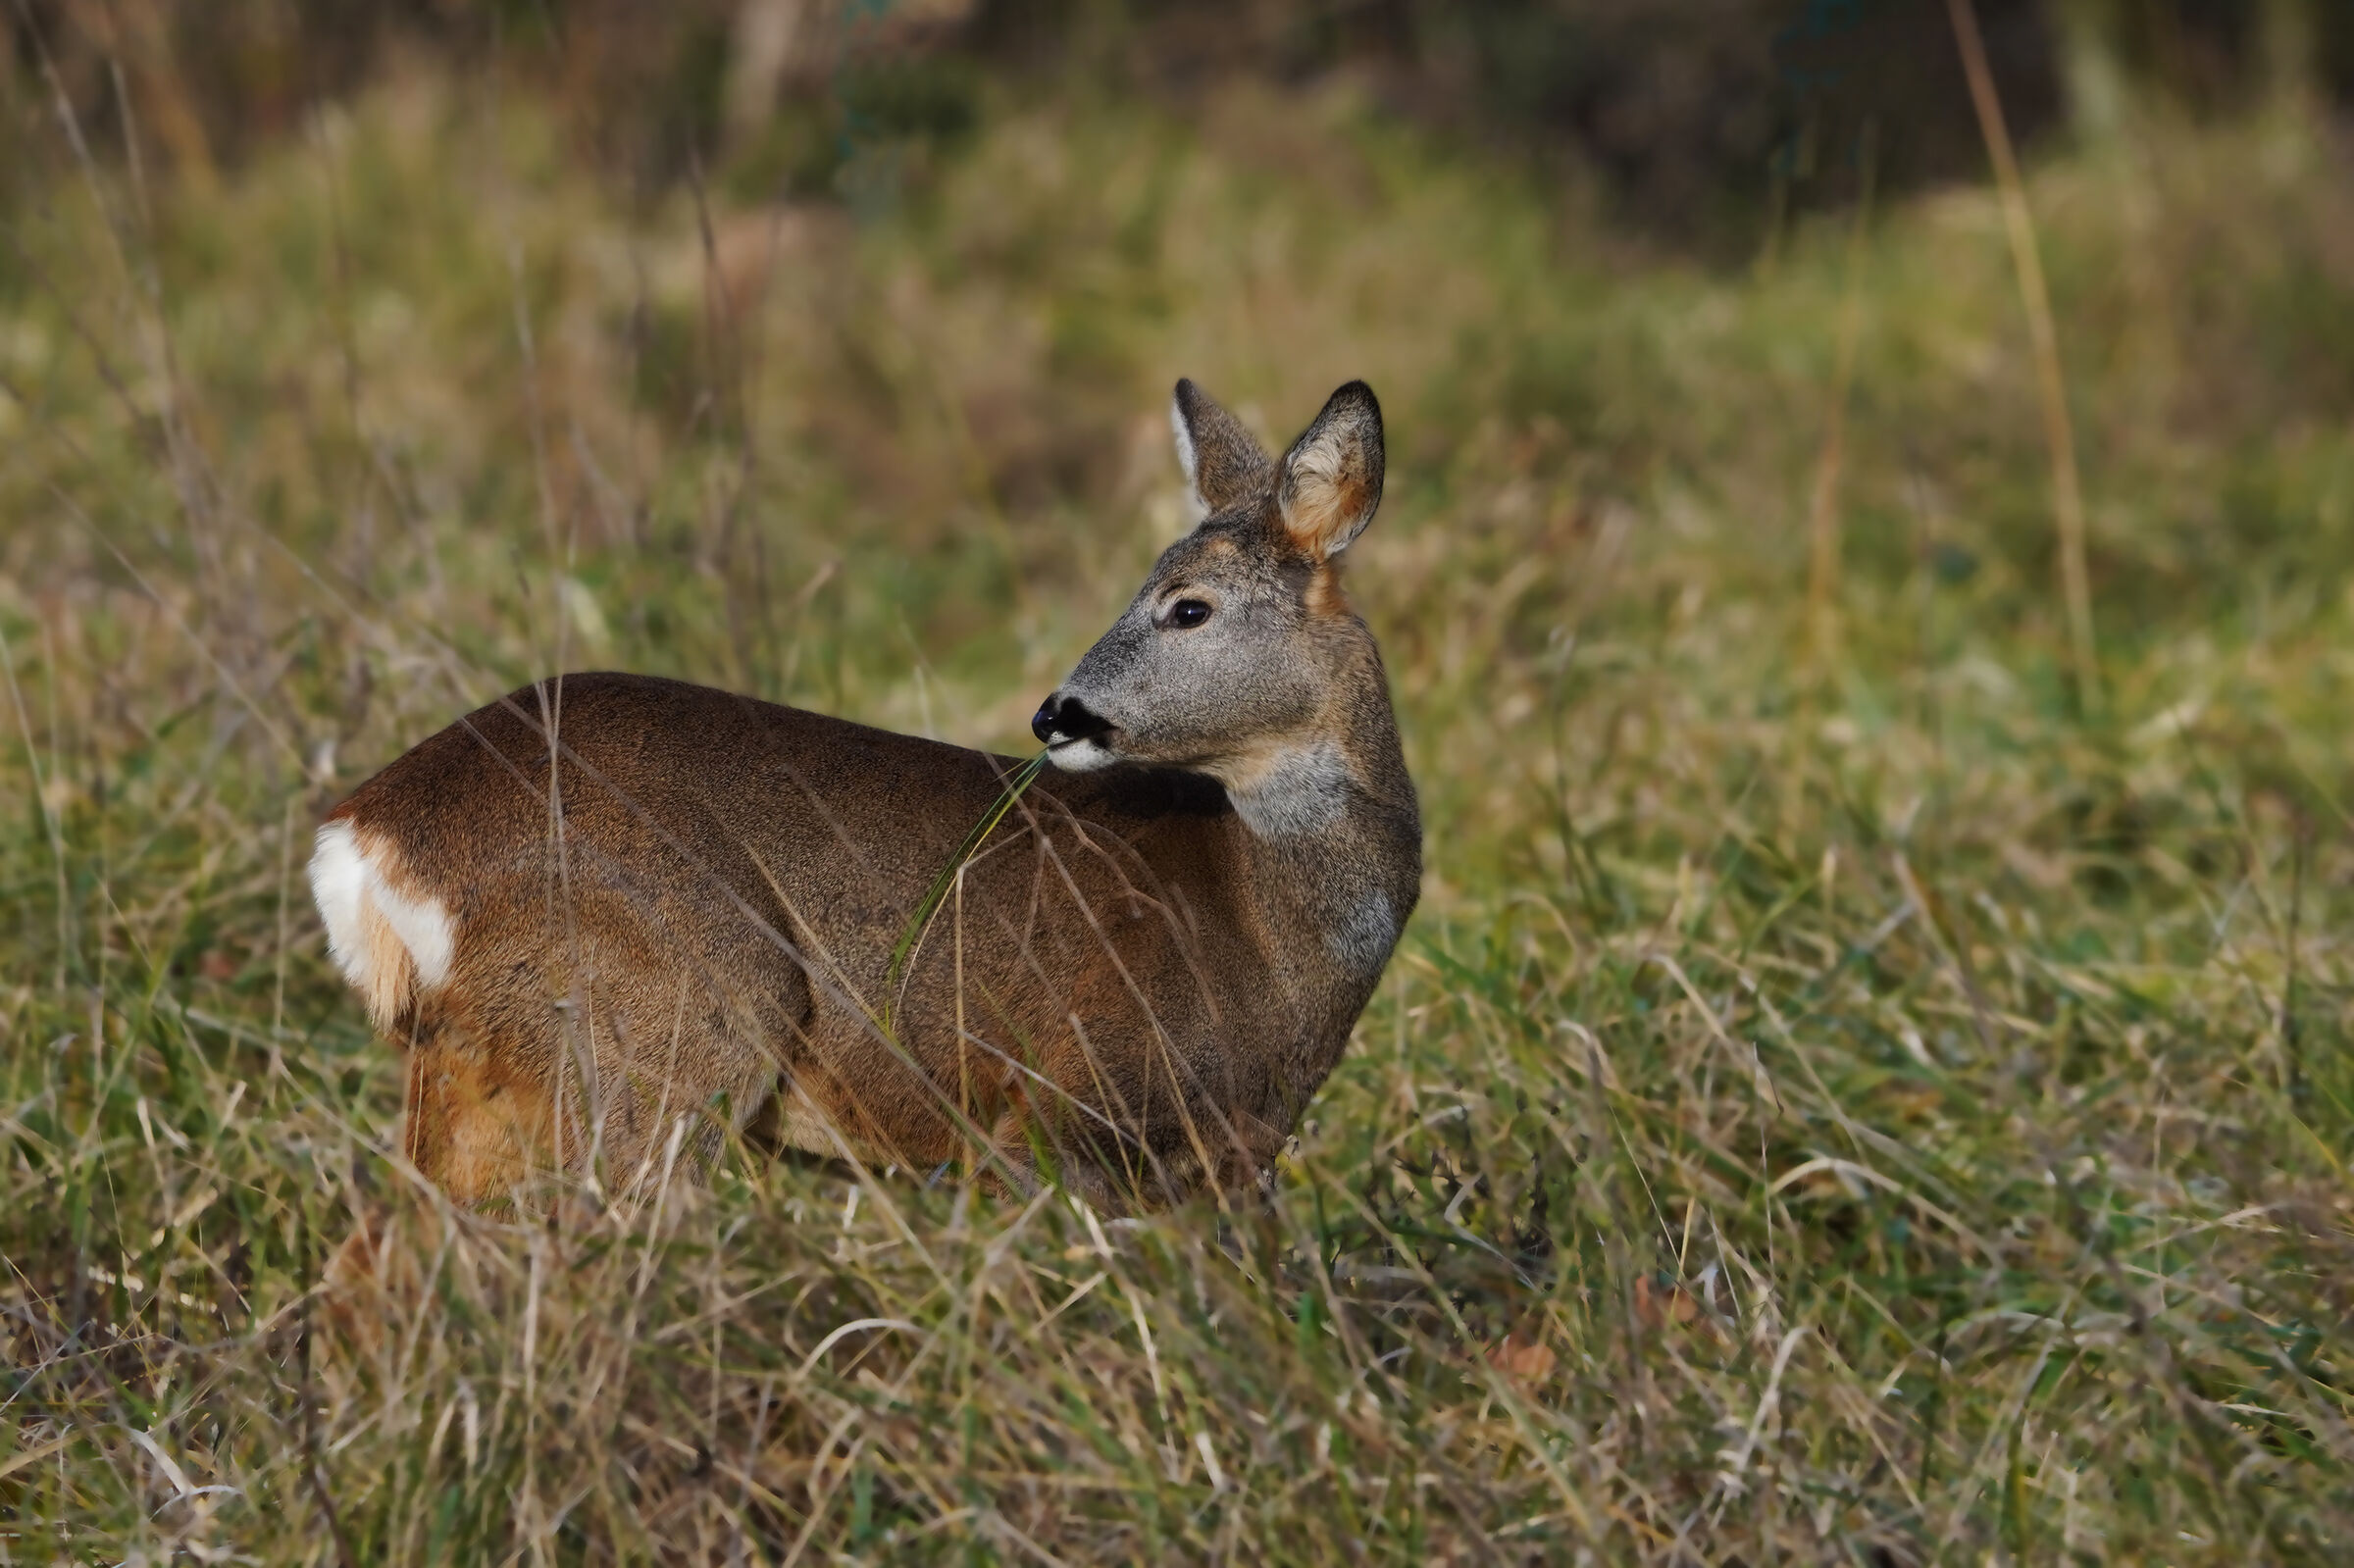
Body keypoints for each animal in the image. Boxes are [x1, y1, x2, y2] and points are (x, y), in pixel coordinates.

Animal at [308, 378, 1419, 1233]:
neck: (1257, 922)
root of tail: (364, 832)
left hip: (480, 1062)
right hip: (668, 1022)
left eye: (1190, 606)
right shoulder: (1057, 1110)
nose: (1055, 714)